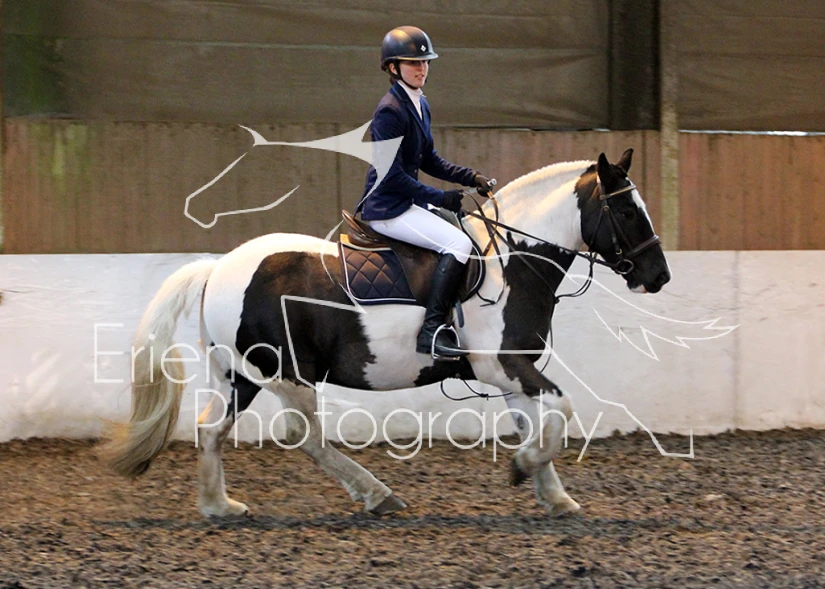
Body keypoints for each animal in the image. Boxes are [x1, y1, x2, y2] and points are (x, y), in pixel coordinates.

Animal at [101, 148, 670, 518]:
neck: (511, 262)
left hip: (239, 374)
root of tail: (218, 268)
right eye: (625, 209)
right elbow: (560, 409)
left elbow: (538, 420)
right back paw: (378, 495)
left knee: (209, 430)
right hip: (287, 374)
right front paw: (522, 469)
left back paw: (218, 506)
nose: (659, 276)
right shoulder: (502, 364)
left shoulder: (514, 370)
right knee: (304, 436)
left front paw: (552, 494)